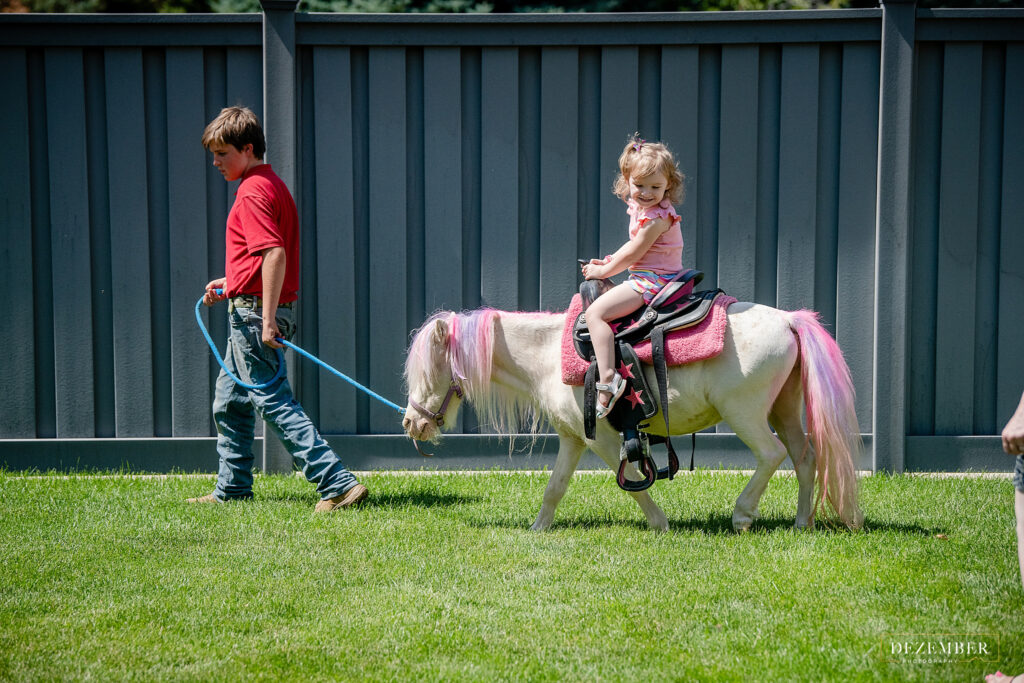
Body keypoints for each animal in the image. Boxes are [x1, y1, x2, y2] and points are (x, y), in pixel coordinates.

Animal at [401, 305, 864, 532]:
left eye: (430, 369)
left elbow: (634, 484)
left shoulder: (601, 441)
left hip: (746, 413)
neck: (549, 355)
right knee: (804, 458)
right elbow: (555, 488)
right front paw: (537, 529)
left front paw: (660, 524)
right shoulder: (573, 439)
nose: (411, 424)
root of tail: (789, 320)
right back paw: (802, 523)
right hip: (784, 408)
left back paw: (742, 515)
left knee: (772, 455)